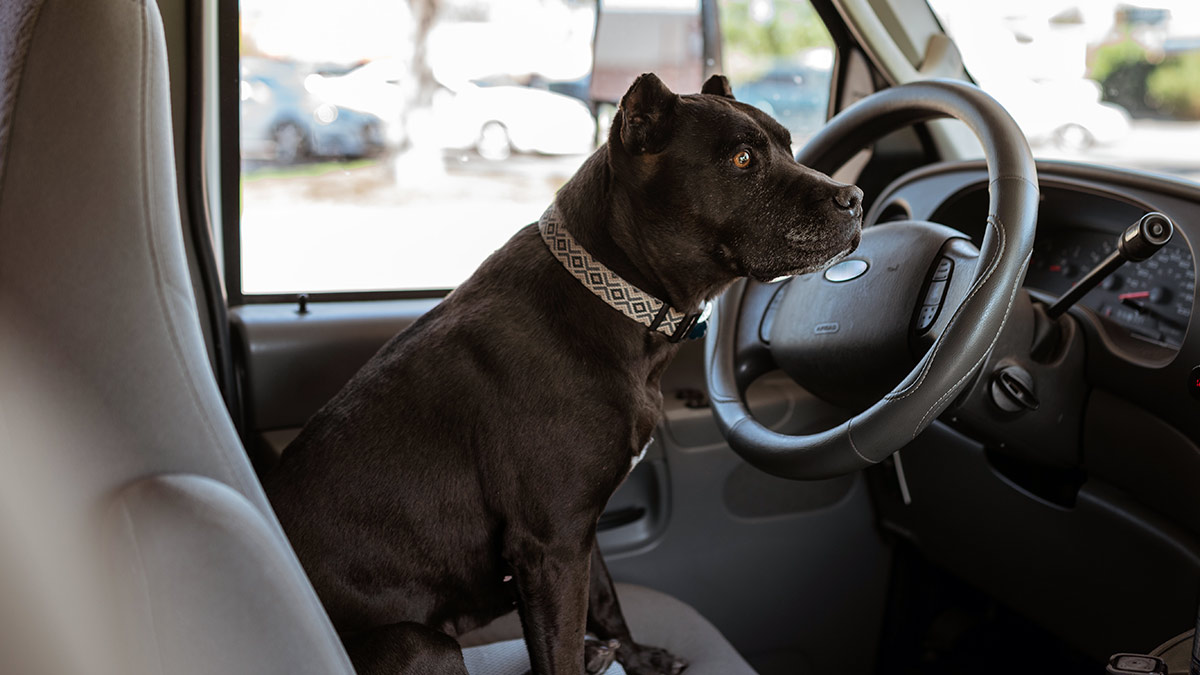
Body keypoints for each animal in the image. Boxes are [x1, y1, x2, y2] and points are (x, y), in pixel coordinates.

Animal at [264, 70, 864, 667]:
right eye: (742, 159)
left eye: (789, 145)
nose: (856, 198)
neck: (615, 292)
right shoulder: (549, 544)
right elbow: (563, 647)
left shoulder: (579, 534)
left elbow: (605, 598)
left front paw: (636, 657)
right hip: (420, 644)